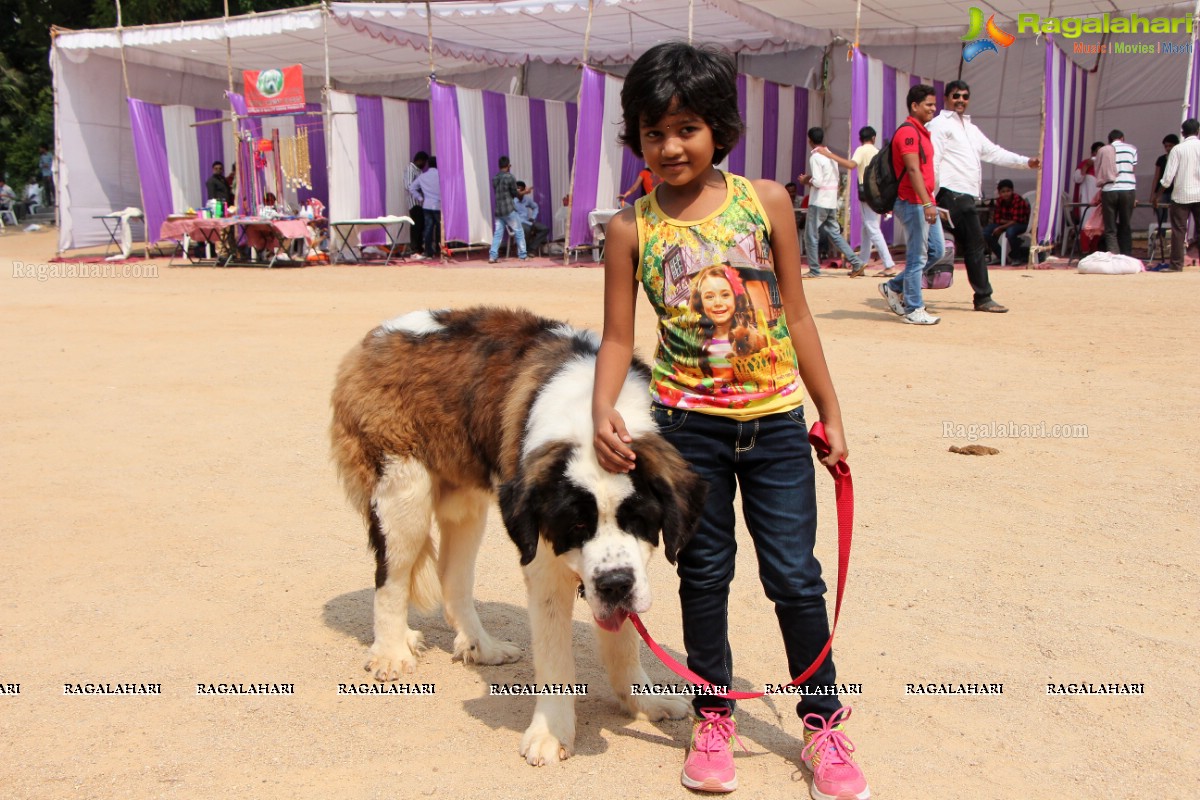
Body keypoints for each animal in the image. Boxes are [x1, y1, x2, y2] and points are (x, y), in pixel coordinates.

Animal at [331, 304, 700, 762]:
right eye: (576, 525)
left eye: (637, 518)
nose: (615, 584)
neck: (590, 418)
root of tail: (372, 340)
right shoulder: (543, 564)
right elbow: (556, 657)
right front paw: (551, 733)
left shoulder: (633, 569)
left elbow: (625, 638)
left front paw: (643, 700)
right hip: (403, 492)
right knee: (391, 579)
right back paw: (392, 652)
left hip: (465, 503)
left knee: (453, 579)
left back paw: (482, 647)